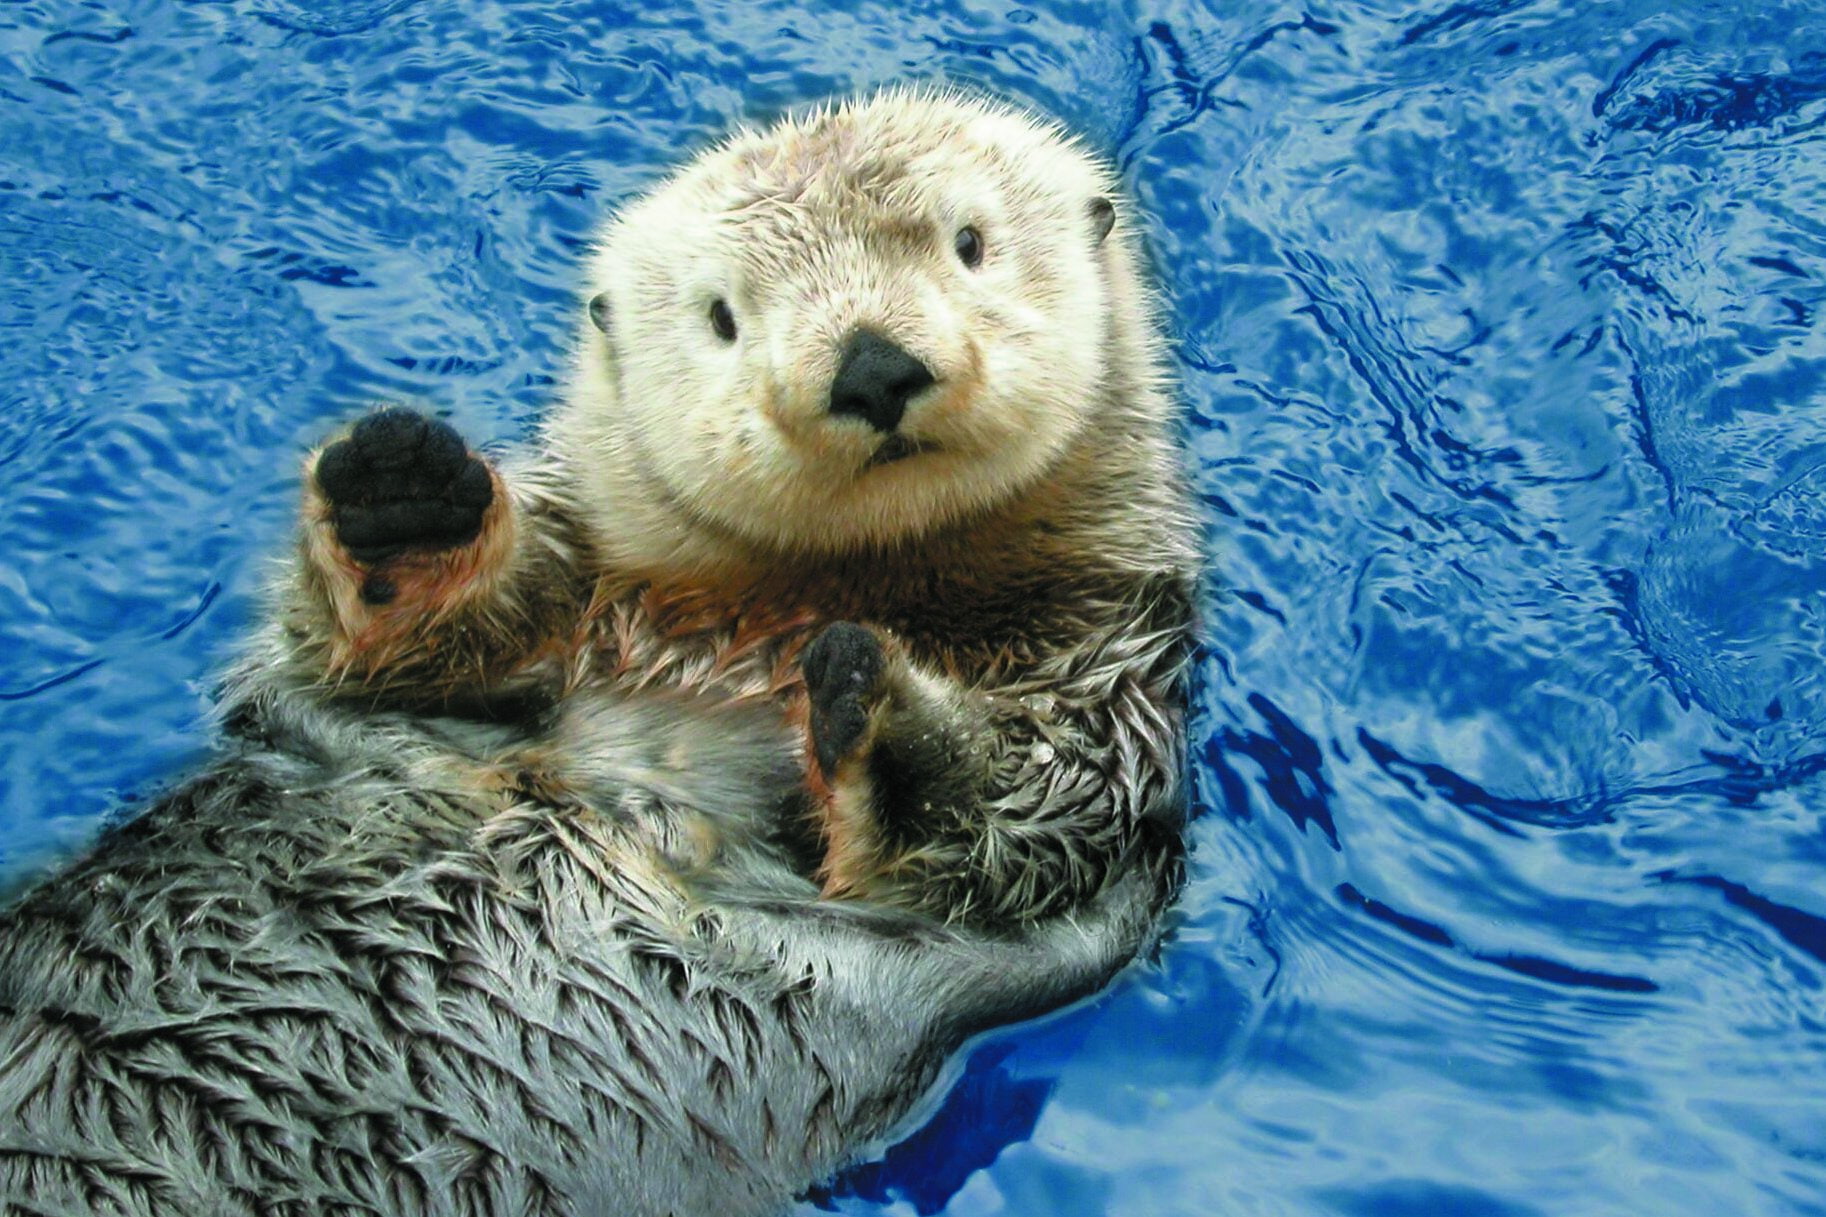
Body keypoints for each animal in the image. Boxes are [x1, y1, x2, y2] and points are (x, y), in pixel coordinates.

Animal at [0, 90, 1195, 1215]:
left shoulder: (1109, 696)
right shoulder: (546, 626)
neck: (769, 622)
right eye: (722, 316)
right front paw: (403, 495)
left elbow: (1013, 823)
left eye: (968, 241)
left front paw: (887, 705)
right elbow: (349, 666)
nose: (871, 366)